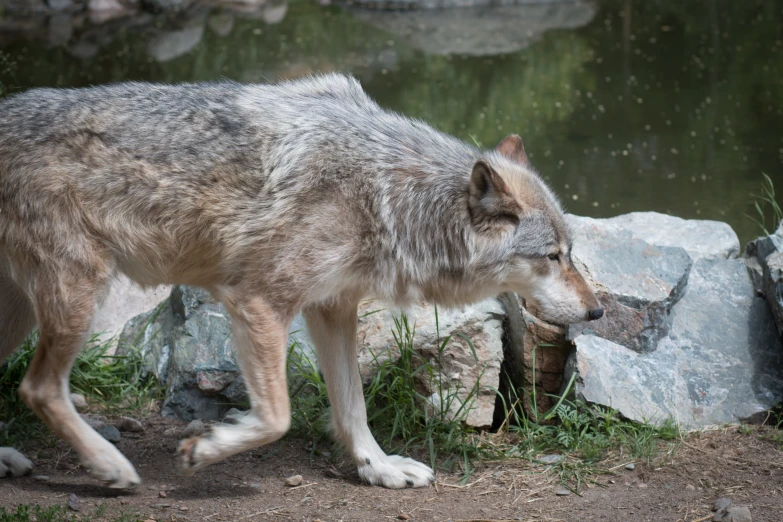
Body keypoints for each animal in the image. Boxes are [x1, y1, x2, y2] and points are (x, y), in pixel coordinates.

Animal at [0, 73, 604, 488]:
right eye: (552, 256)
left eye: (571, 253)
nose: (597, 312)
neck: (384, 191)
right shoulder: (258, 301)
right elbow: (277, 417)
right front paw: (207, 448)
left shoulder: (333, 307)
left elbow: (352, 405)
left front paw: (379, 469)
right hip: (79, 295)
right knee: (38, 388)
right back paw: (109, 465)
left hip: (24, 311)